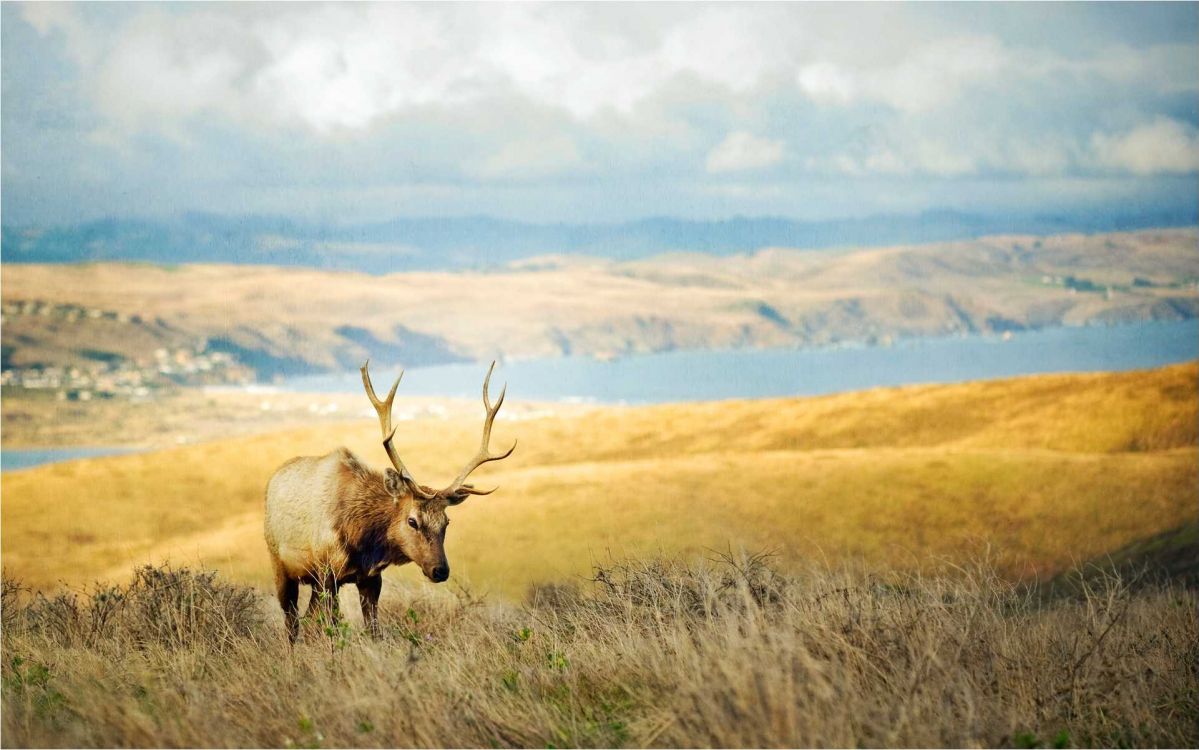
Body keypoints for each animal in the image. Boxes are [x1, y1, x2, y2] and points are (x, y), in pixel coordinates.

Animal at [264, 360, 515, 642]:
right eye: (412, 521)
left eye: (446, 522)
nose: (441, 570)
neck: (361, 539)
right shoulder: (327, 573)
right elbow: (333, 630)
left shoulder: (371, 578)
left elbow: (373, 630)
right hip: (280, 564)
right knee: (292, 622)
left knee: (305, 618)